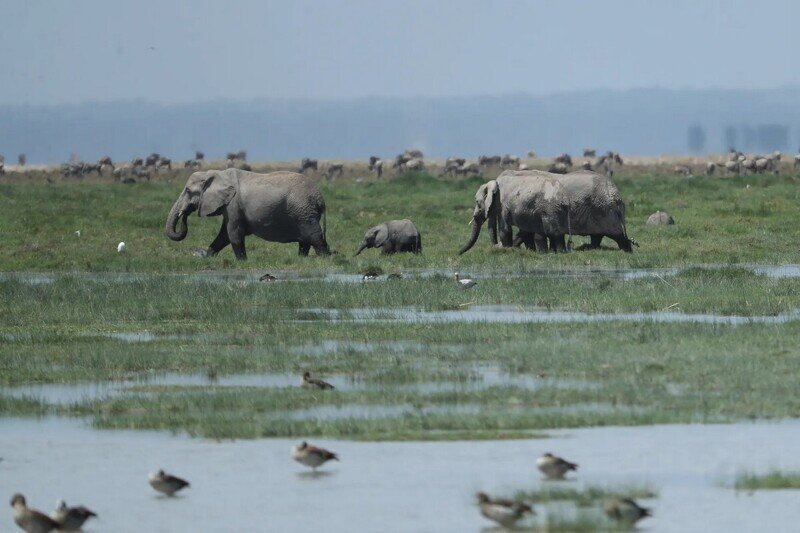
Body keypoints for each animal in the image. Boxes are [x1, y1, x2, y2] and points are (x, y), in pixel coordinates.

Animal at [164, 166, 330, 258]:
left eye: (188, 191)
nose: (184, 214)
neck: (216, 174)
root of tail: (320, 198)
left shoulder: (234, 205)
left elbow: (233, 233)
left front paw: (242, 262)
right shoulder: (229, 206)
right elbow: (223, 235)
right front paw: (207, 257)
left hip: (303, 210)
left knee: (314, 237)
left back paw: (324, 259)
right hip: (303, 211)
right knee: (306, 241)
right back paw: (302, 259)